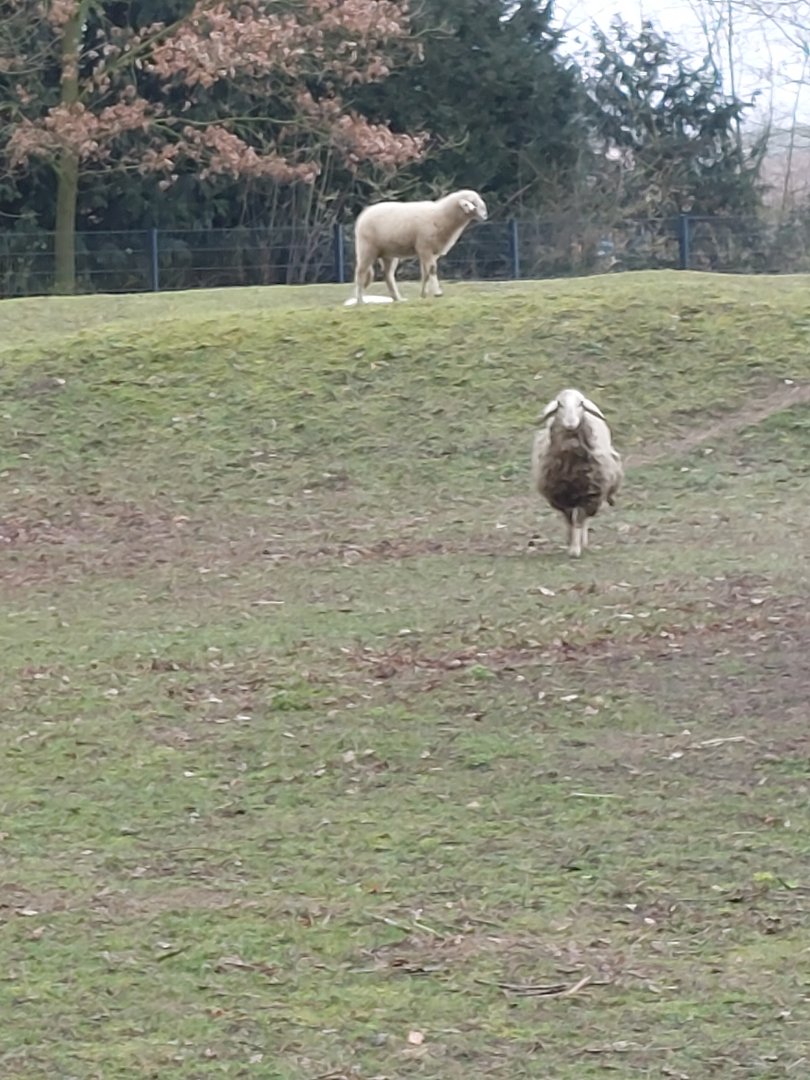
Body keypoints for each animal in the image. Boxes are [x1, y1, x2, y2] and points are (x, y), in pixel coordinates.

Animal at [353, 189, 488, 304]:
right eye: (473, 203)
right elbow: (432, 269)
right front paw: (437, 293)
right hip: (366, 248)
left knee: (388, 275)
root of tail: (364, 214)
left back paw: (397, 299)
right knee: (361, 273)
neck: (441, 215)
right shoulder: (425, 247)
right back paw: (360, 301)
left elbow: (426, 273)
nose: (485, 215)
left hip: (388, 254)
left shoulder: (428, 251)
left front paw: (423, 295)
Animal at [531, 388, 623, 558]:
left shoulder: (591, 493)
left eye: (580, 403)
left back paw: (584, 542)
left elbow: (580, 520)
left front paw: (576, 548)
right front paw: (571, 544)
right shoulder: (561, 495)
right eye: (560, 404)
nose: (570, 424)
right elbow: (569, 521)